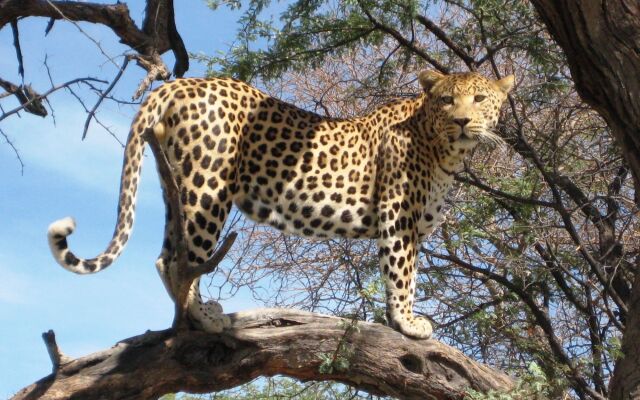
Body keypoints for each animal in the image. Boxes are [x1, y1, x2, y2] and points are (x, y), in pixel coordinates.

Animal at [46, 70, 516, 340]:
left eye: (479, 99)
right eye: (447, 100)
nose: (462, 121)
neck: (444, 148)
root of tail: (180, 82)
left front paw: (398, 321)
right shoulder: (398, 218)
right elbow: (403, 276)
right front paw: (408, 323)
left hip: (174, 183)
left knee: (165, 257)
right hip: (208, 187)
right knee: (184, 261)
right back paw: (205, 318)